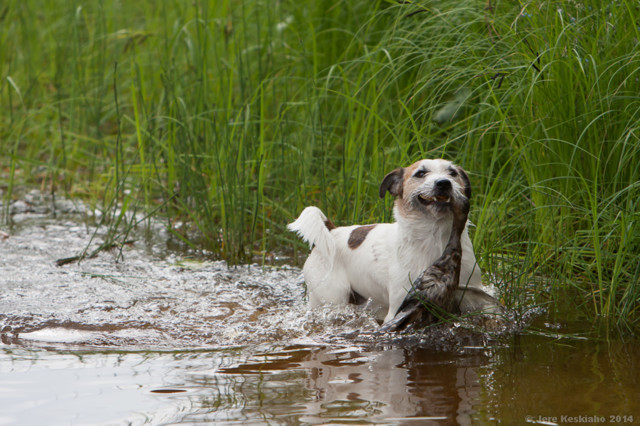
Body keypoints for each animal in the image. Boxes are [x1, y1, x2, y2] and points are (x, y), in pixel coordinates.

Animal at [288, 159, 482, 322]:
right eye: (420, 173)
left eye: (452, 173)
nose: (443, 183)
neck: (435, 240)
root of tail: (331, 230)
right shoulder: (400, 304)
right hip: (331, 298)